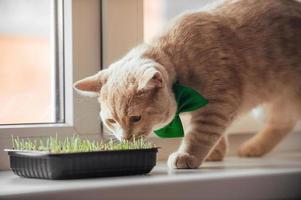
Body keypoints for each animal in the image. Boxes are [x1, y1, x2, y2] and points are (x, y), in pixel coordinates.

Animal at [74, 0, 300, 169]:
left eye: (136, 118)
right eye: (111, 121)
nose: (125, 139)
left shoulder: (217, 104)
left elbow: (200, 134)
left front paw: (188, 156)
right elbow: (216, 134)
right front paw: (215, 152)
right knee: (283, 123)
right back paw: (253, 148)